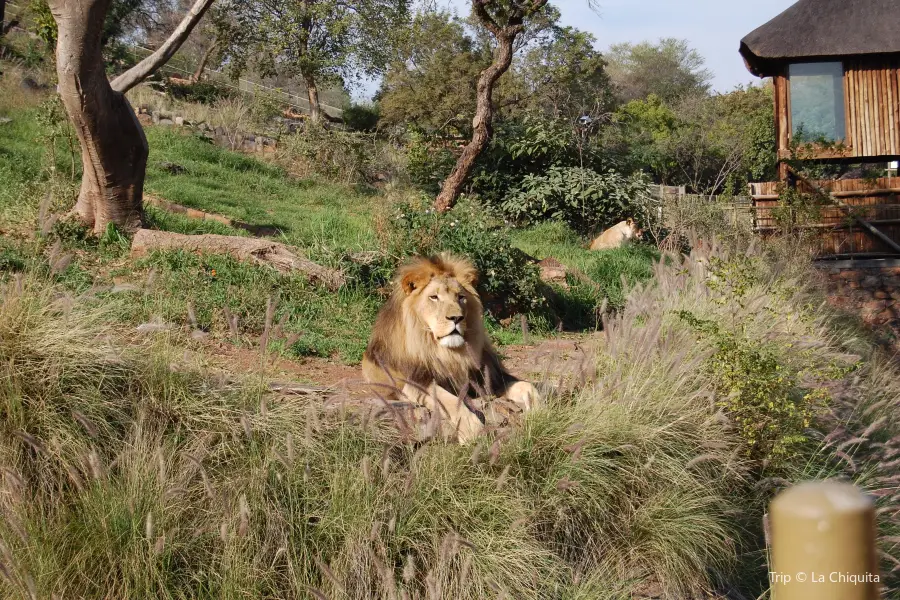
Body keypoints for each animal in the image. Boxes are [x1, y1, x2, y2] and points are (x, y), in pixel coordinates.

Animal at [360, 251, 540, 442]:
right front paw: (473, 430)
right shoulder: (415, 384)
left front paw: (540, 411)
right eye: (434, 297)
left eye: (460, 297)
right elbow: (449, 400)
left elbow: (528, 386)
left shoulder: (488, 377)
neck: (448, 353)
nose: (456, 318)